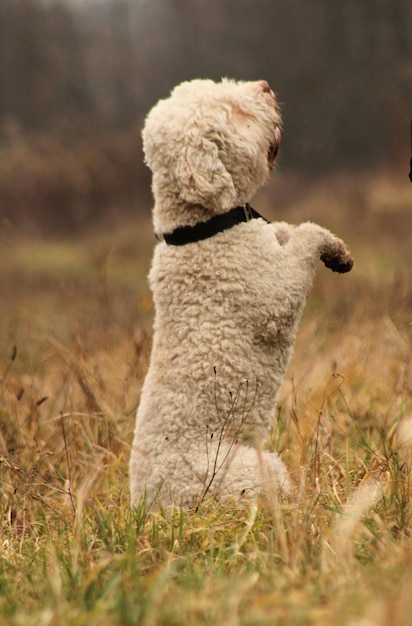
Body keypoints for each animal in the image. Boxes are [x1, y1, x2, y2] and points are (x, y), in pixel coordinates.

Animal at [130, 79, 354, 508]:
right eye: (236, 113)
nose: (265, 87)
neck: (205, 226)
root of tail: (150, 505)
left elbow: (287, 230)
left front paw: (337, 251)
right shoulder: (273, 295)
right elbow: (305, 236)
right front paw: (324, 245)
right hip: (246, 471)